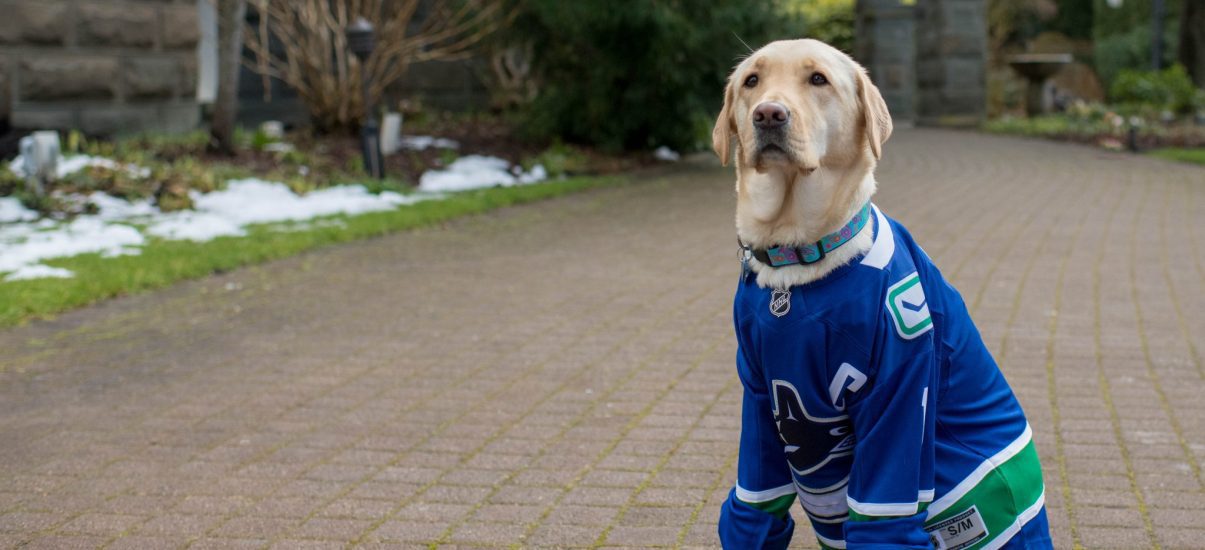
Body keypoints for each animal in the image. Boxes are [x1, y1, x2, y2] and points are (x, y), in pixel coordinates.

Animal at [713, 40, 1045, 550]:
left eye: (818, 79)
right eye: (752, 81)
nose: (768, 114)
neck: (797, 262)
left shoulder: (900, 394)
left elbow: (882, 523)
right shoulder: (759, 402)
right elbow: (753, 511)